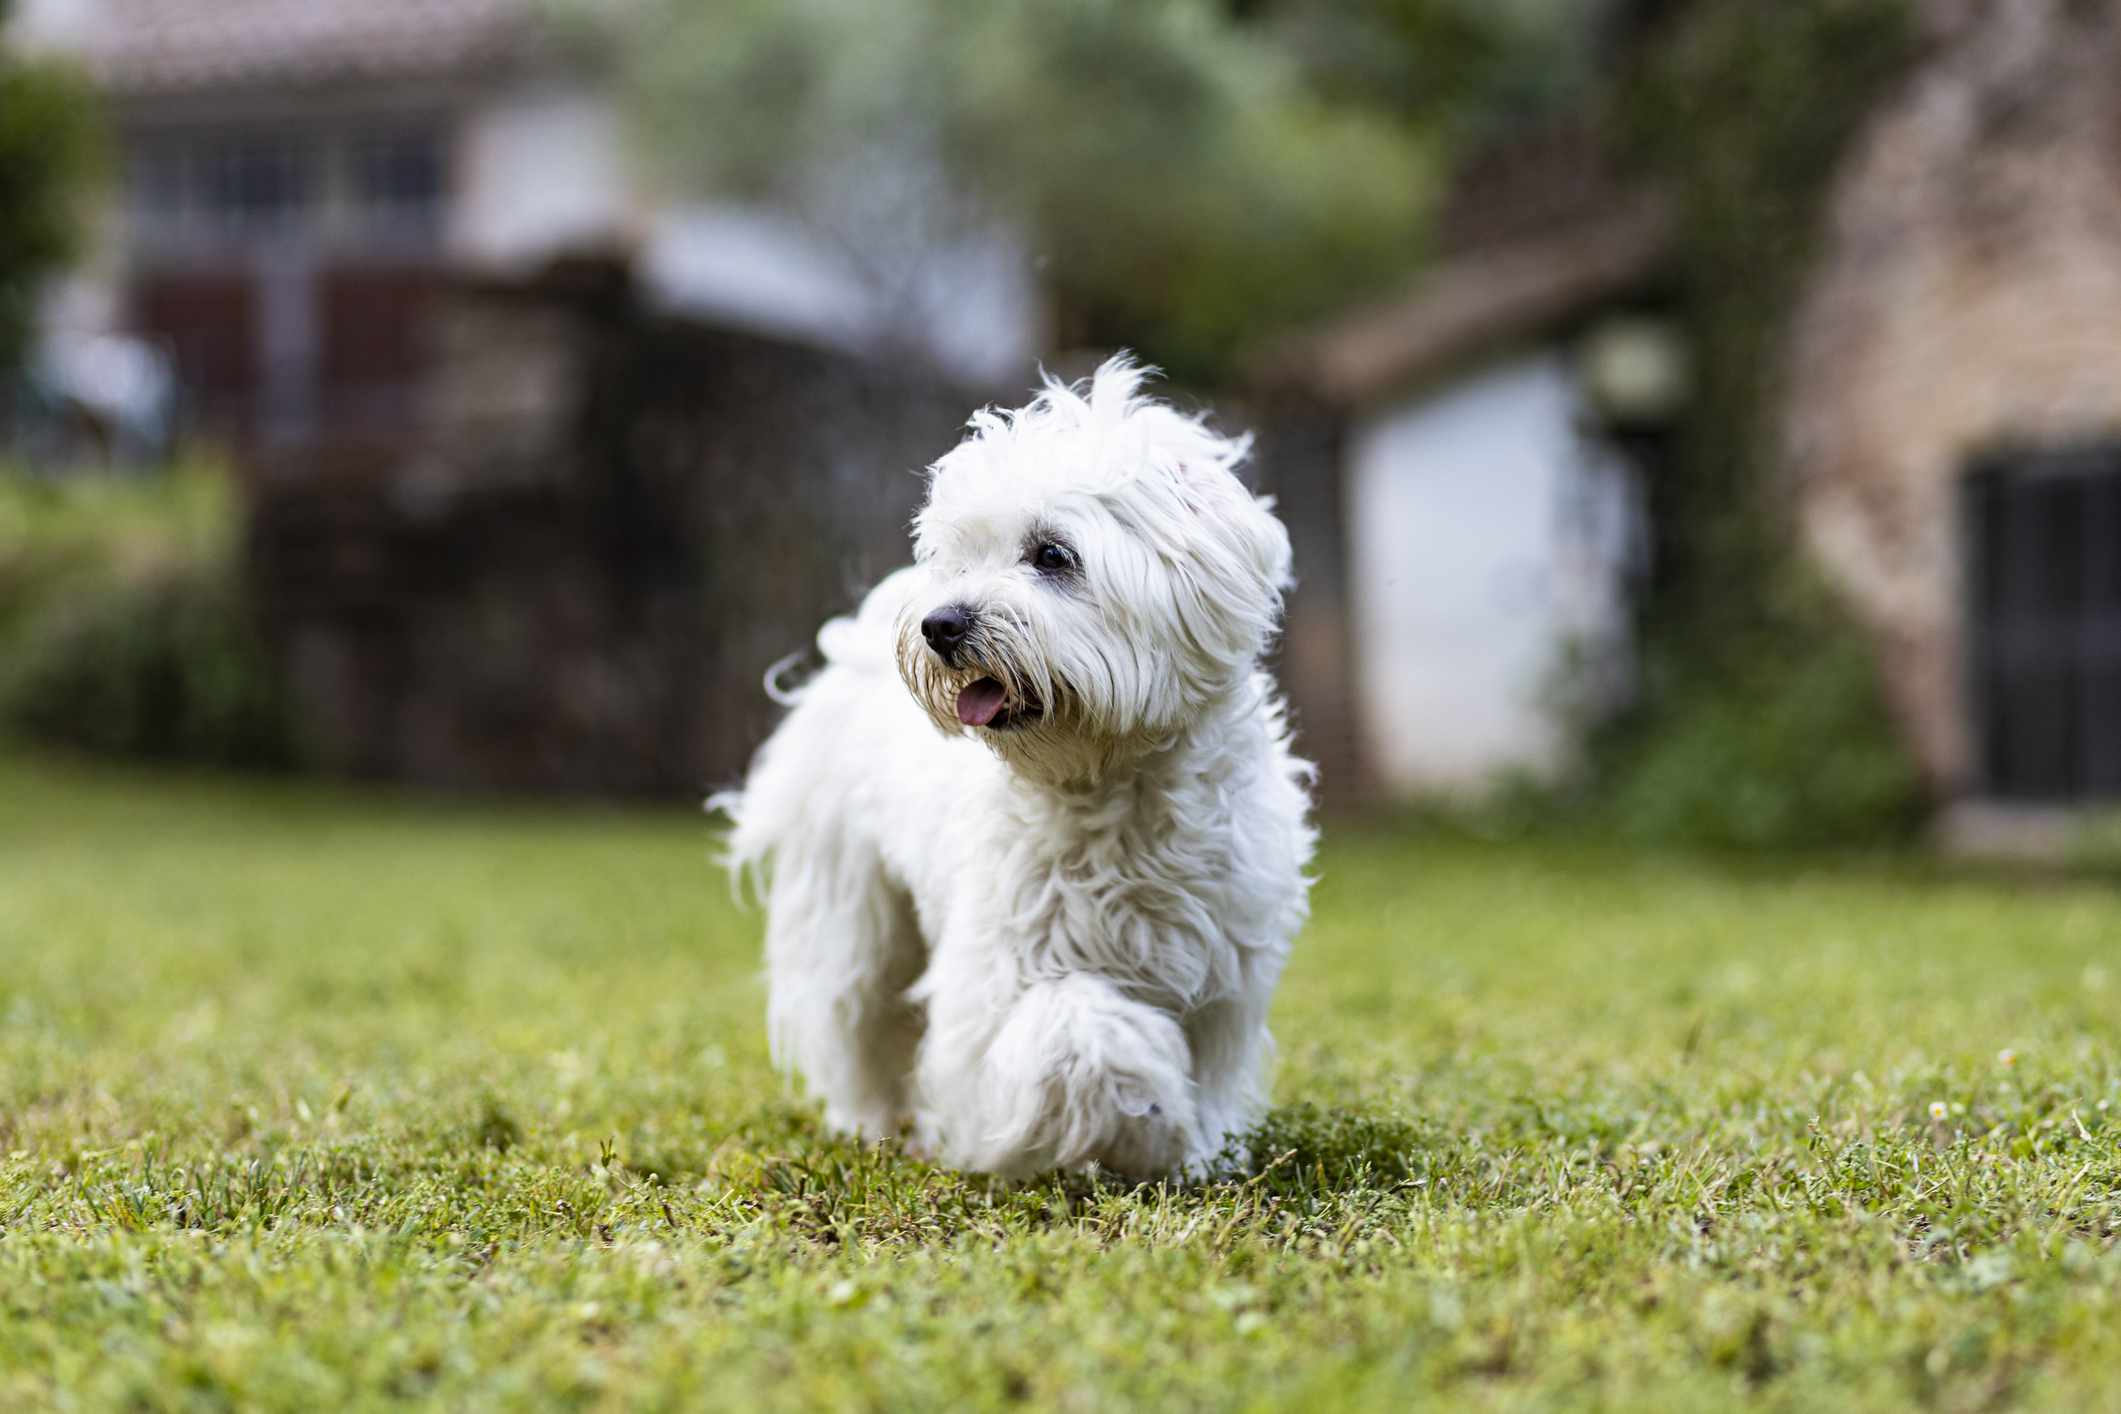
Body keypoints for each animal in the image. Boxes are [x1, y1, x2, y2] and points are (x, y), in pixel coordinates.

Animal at [712, 360, 1306, 1178]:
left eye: (1052, 554)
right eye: (958, 557)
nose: (940, 623)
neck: (1109, 787)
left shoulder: (1223, 979)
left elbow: (1205, 1075)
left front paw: (1190, 1150)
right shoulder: (997, 979)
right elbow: (1080, 1026)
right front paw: (1140, 1114)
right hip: (854, 918)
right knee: (860, 1027)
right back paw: (878, 1127)